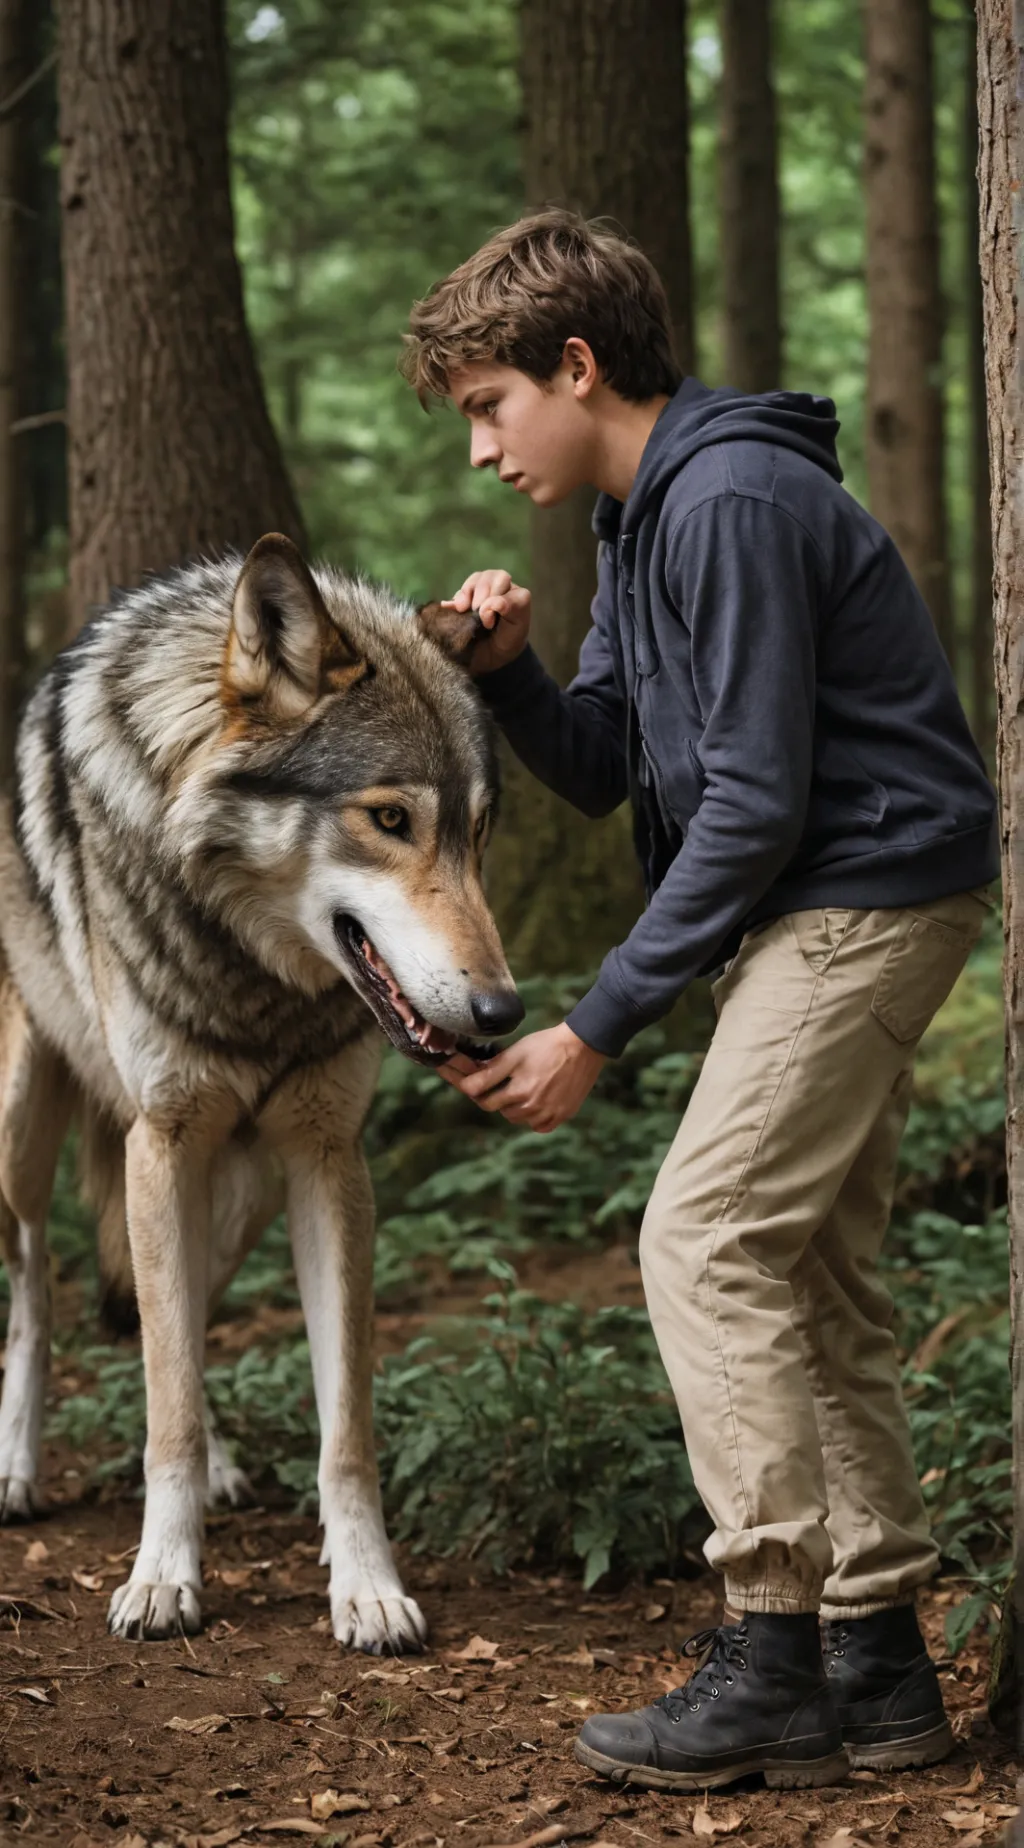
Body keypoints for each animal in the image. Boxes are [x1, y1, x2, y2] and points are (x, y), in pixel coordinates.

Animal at [0, 533, 522, 1653]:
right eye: (389, 818)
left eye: (478, 830)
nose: (503, 1012)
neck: (259, 984)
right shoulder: (163, 1140)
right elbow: (166, 1410)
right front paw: (161, 1578)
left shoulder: (327, 1158)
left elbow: (342, 1427)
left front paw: (367, 1588)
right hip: (26, 1133)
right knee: (38, 1288)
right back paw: (16, 1466)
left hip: (233, 1195)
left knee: (176, 1321)